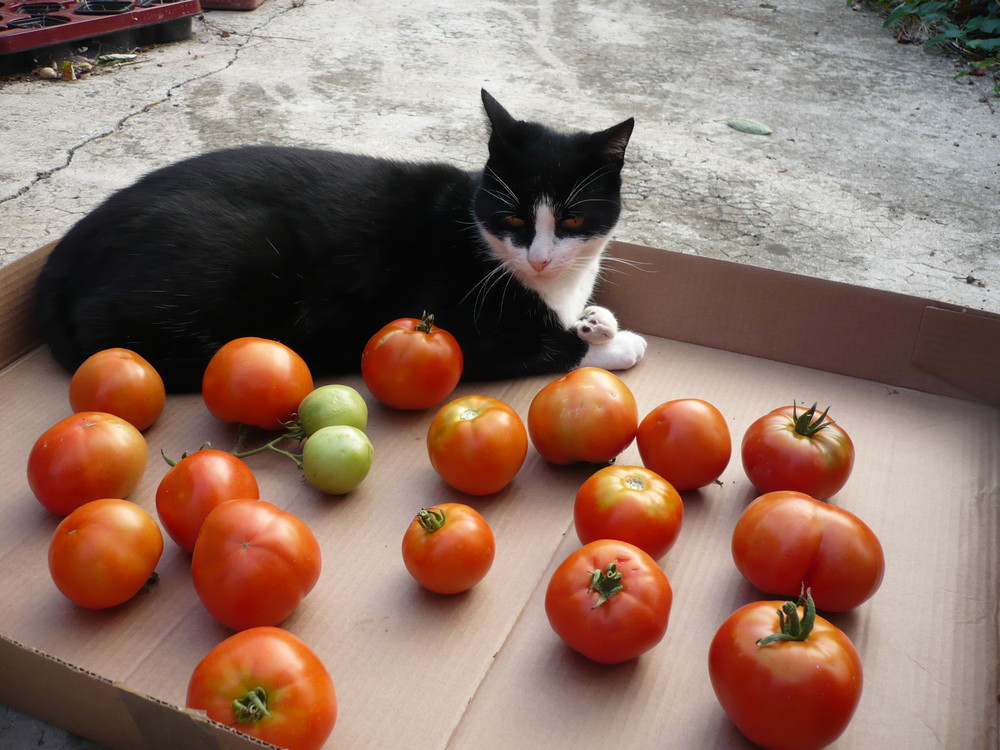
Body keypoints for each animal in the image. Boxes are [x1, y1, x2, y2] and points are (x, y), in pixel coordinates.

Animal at [35, 90, 644, 390]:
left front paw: (600, 321)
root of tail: (60, 264)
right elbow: (555, 347)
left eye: (571, 222)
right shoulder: (461, 330)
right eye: (513, 219)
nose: (539, 259)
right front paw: (616, 344)